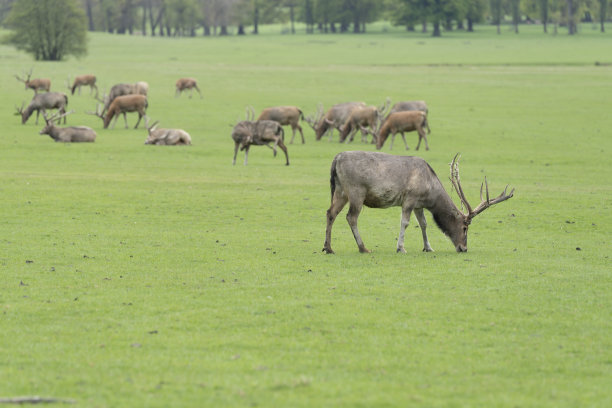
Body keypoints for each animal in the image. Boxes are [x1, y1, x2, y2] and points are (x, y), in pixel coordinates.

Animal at [322, 151, 512, 253]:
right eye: (465, 227)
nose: (463, 248)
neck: (430, 193)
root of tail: (336, 159)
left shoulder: (419, 205)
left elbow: (424, 223)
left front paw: (428, 247)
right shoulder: (409, 198)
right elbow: (405, 223)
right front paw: (400, 247)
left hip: (340, 191)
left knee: (330, 212)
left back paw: (328, 248)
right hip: (356, 191)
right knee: (351, 217)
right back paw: (363, 248)